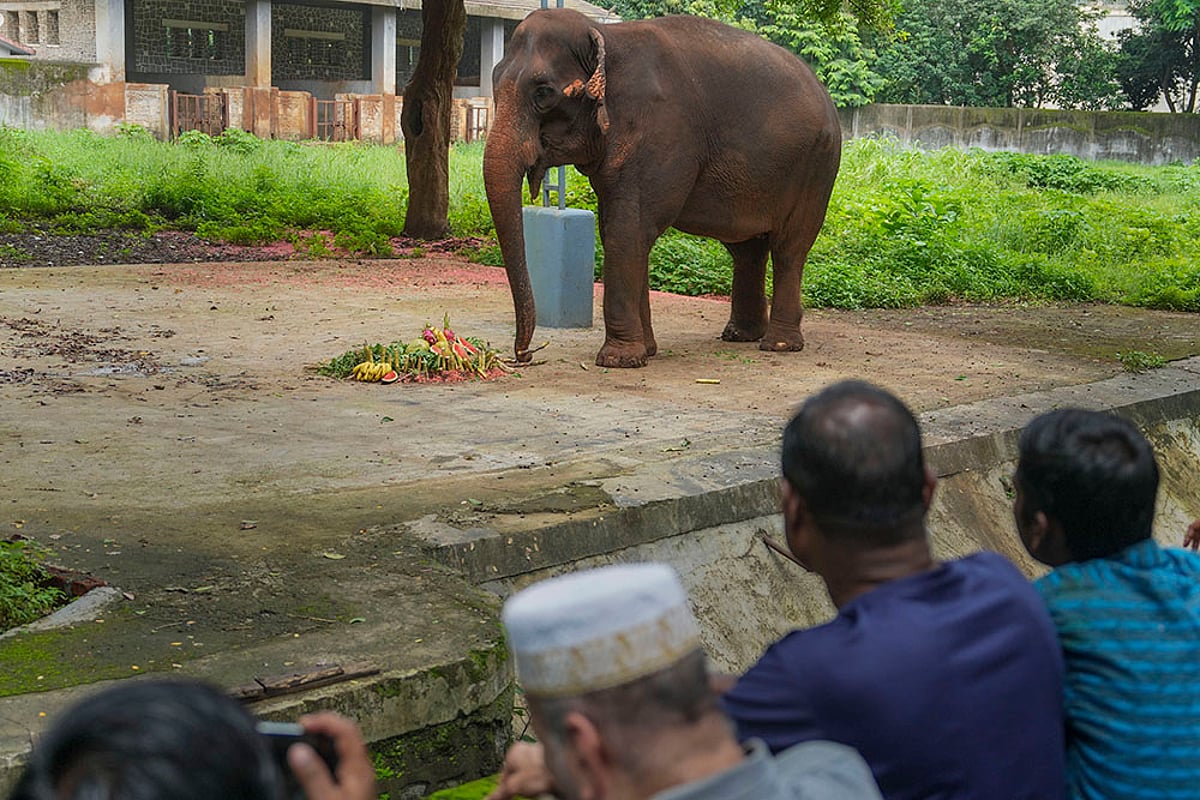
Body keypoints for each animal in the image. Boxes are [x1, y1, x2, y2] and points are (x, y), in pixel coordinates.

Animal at [483, 9, 841, 368]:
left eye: (543, 93)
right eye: (494, 81)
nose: (525, 355)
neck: (606, 36)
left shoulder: (658, 132)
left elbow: (628, 230)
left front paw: (618, 360)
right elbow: (619, 230)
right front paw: (646, 352)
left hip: (817, 167)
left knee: (789, 247)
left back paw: (779, 344)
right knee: (746, 248)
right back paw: (741, 335)